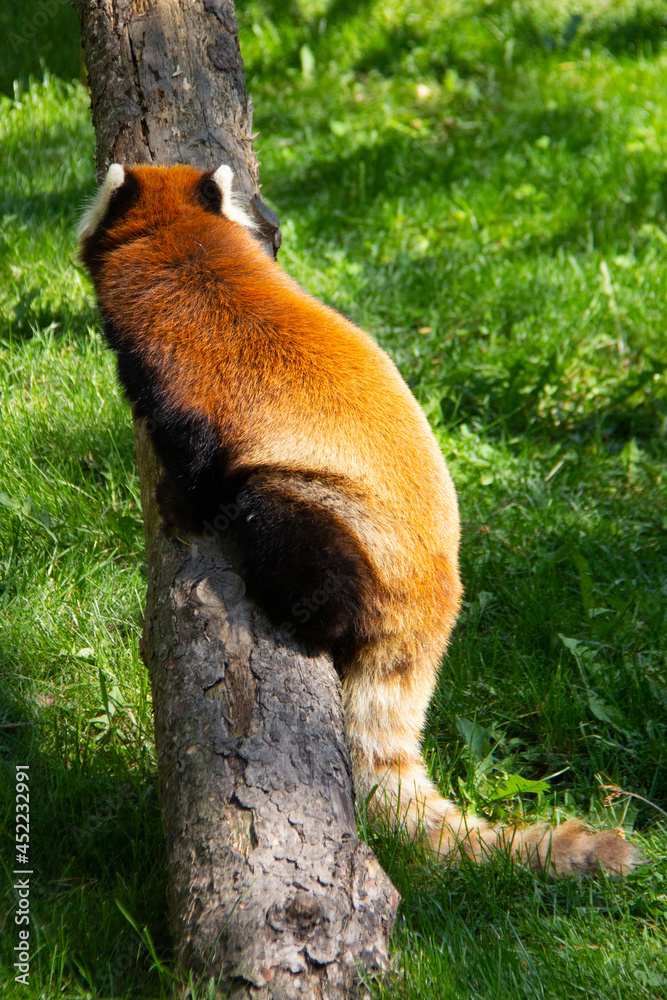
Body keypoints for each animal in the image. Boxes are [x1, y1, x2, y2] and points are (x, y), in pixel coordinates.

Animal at [79, 163, 636, 875]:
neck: (194, 247)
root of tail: (435, 608)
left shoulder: (181, 370)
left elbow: (199, 462)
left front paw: (182, 507)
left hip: (335, 520)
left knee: (286, 532)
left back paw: (302, 614)